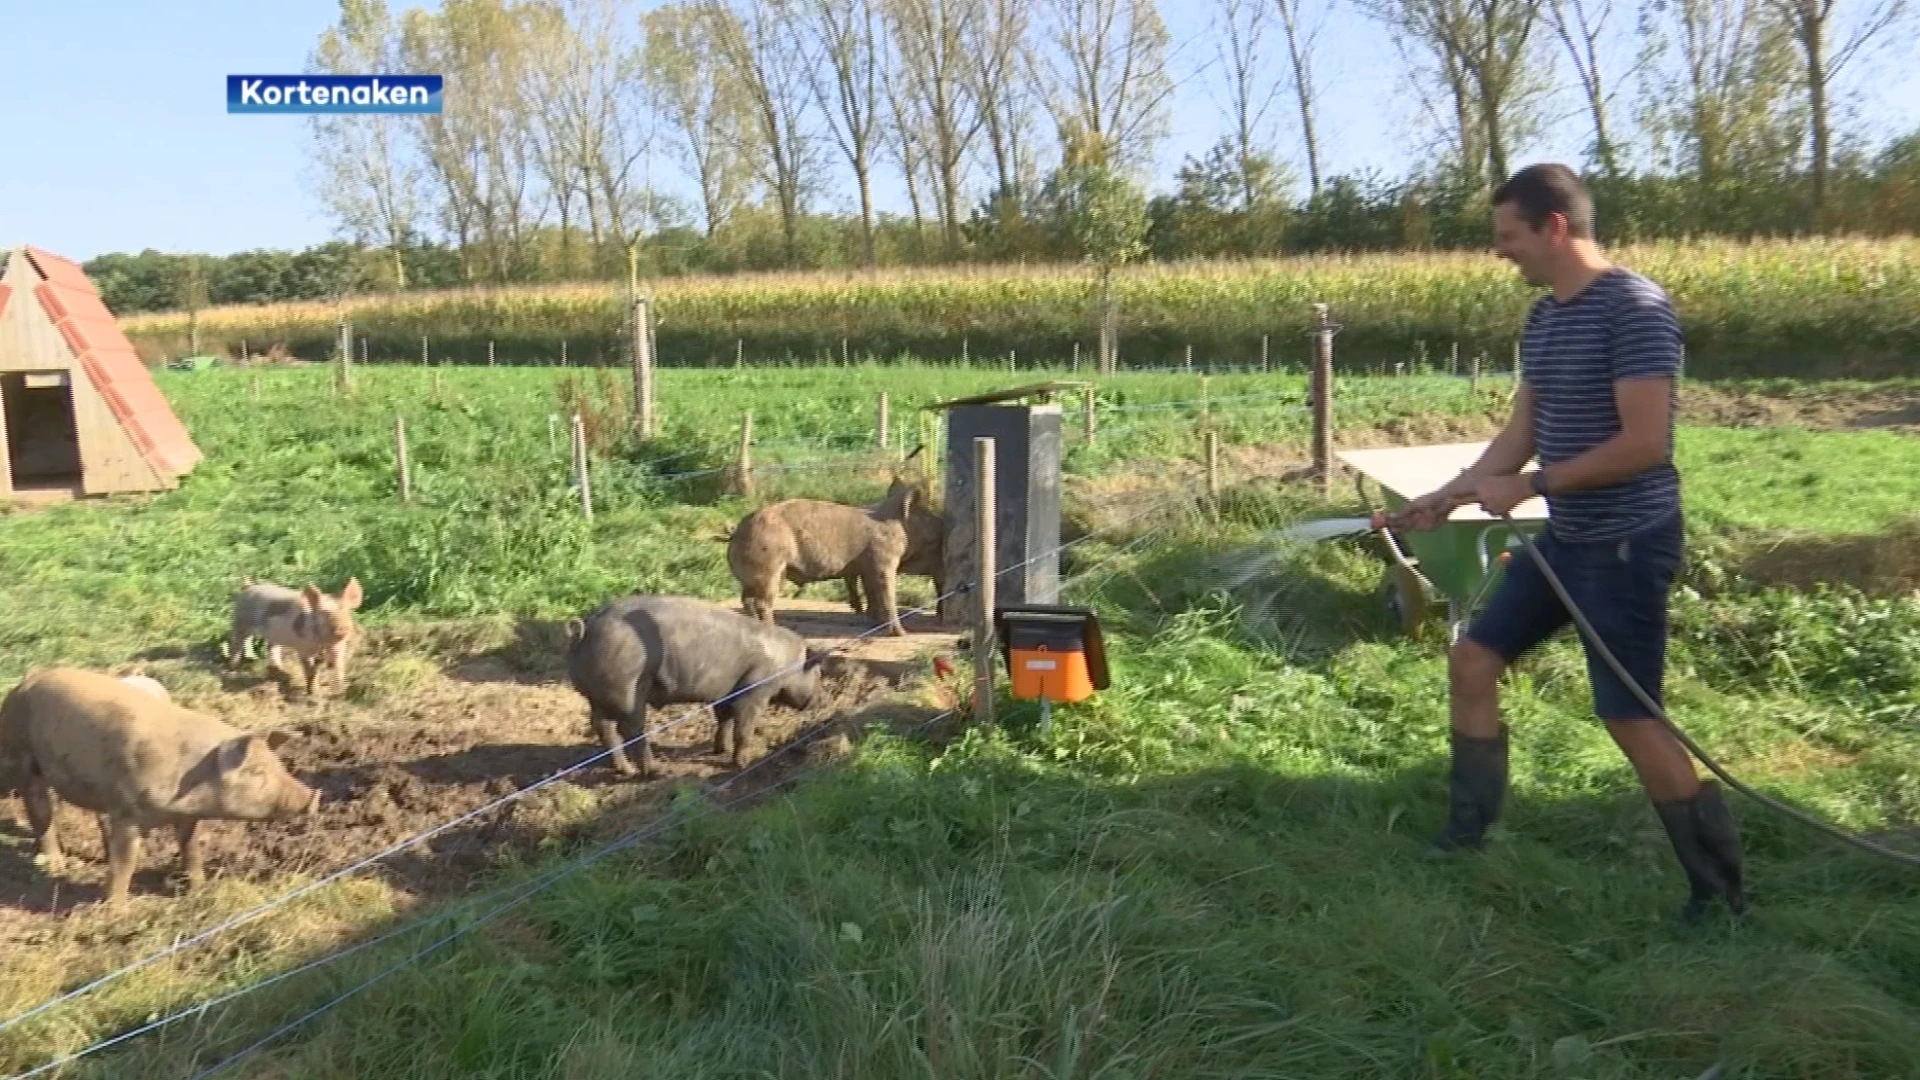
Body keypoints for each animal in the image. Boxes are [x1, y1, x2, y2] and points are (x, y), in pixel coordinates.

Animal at [0, 664, 322, 907]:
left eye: (279, 765)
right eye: (256, 771)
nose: (314, 797)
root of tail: (28, 678)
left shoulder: (187, 816)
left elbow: (191, 849)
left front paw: (199, 888)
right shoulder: (128, 811)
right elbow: (126, 861)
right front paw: (116, 911)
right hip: (20, 750)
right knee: (38, 805)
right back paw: (54, 865)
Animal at [226, 576, 360, 691]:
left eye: (347, 611)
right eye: (325, 613)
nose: (342, 628)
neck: (323, 643)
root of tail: (249, 587)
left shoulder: (338, 647)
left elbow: (339, 665)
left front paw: (340, 689)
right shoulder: (303, 648)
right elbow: (309, 670)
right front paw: (313, 692)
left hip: (273, 635)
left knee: (272, 648)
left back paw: (280, 671)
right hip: (241, 622)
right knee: (236, 644)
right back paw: (233, 670)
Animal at [560, 591, 821, 776]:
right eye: (818, 673)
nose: (820, 699)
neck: (787, 663)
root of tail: (585, 630)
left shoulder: (724, 692)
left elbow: (724, 718)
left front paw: (720, 751)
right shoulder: (755, 691)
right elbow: (743, 726)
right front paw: (741, 765)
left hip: (596, 696)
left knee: (603, 727)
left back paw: (625, 770)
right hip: (628, 689)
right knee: (630, 729)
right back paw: (655, 771)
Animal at [721, 476, 929, 634]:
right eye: (928, 516)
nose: (938, 521)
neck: (896, 525)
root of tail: (738, 531)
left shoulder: (866, 567)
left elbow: (872, 593)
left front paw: (873, 623)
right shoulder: (882, 560)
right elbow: (888, 594)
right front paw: (901, 634)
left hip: (758, 575)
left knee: (747, 600)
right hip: (768, 566)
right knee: (762, 602)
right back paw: (772, 630)